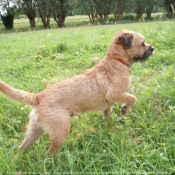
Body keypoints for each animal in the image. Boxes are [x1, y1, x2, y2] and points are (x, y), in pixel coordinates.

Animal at [0, 30, 153, 154]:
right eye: (142, 43)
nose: (152, 48)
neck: (116, 60)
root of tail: (38, 97)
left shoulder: (107, 106)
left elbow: (108, 118)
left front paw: (110, 130)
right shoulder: (114, 94)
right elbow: (132, 98)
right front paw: (125, 110)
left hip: (34, 131)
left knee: (21, 148)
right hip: (61, 131)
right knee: (50, 153)